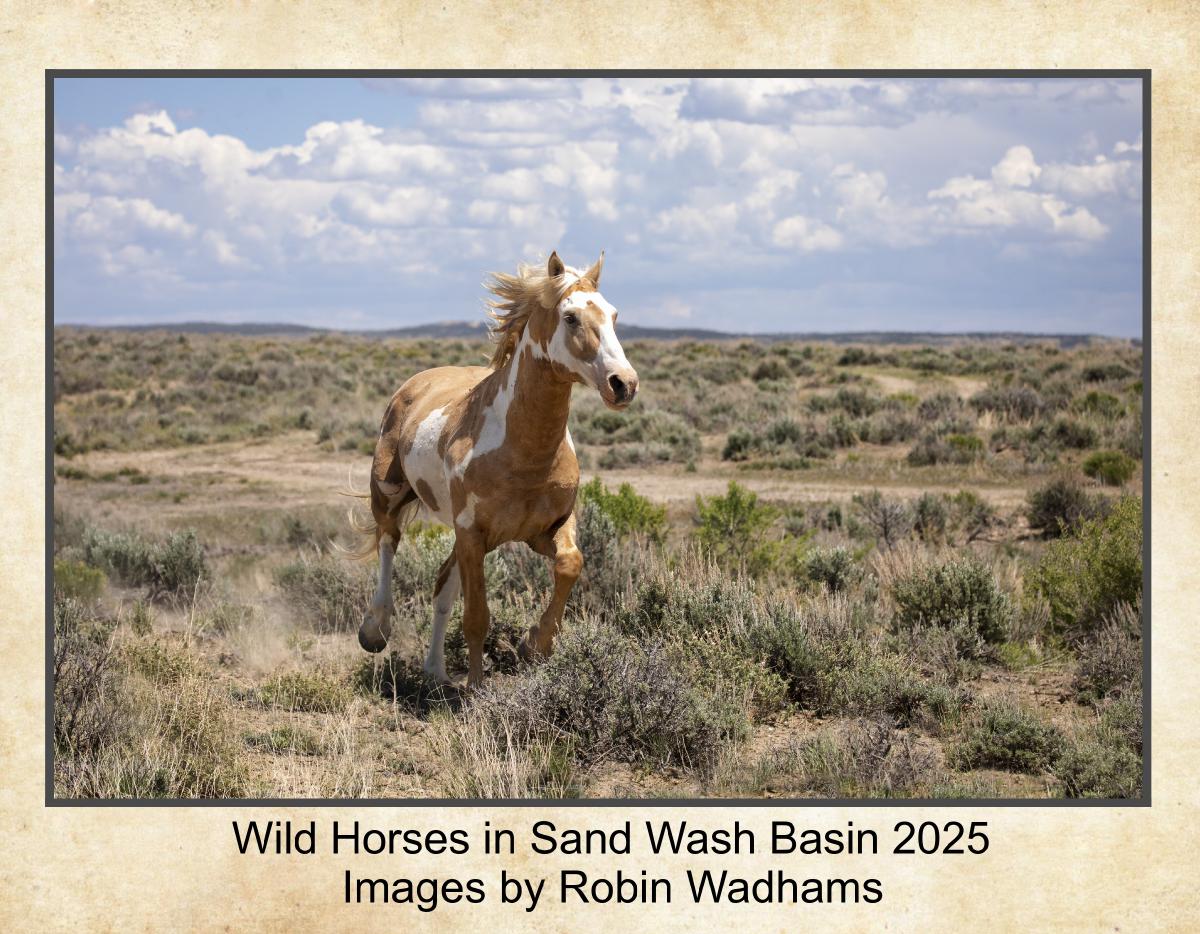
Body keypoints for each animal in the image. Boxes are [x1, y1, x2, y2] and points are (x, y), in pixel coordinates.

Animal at [355, 251, 639, 687]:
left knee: (441, 586)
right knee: (389, 542)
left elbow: (570, 564)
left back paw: (436, 672)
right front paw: (476, 689)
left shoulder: (545, 529)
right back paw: (376, 630)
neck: (524, 455)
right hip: (390, 494)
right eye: (571, 316)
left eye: (614, 314)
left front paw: (534, 644)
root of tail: (415, 384)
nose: (623, 383)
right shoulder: (473, 532)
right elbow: (477, 617)